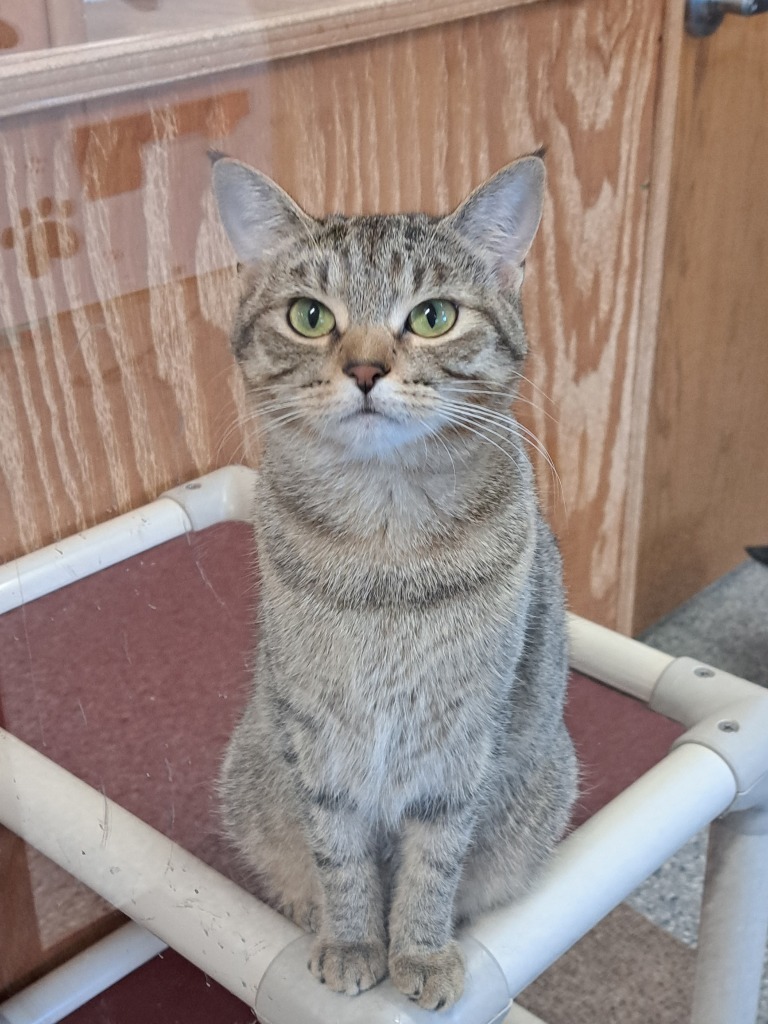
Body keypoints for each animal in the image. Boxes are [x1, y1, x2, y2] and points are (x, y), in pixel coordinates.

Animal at [210, 155, 577, 1011]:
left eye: (433, 316)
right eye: (310, 316)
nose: (366, 368)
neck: (385, 547)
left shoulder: (460, 737)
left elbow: (433, 862)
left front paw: (420, 950)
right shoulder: (318, 735)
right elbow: (340, 854)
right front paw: (351, 941)